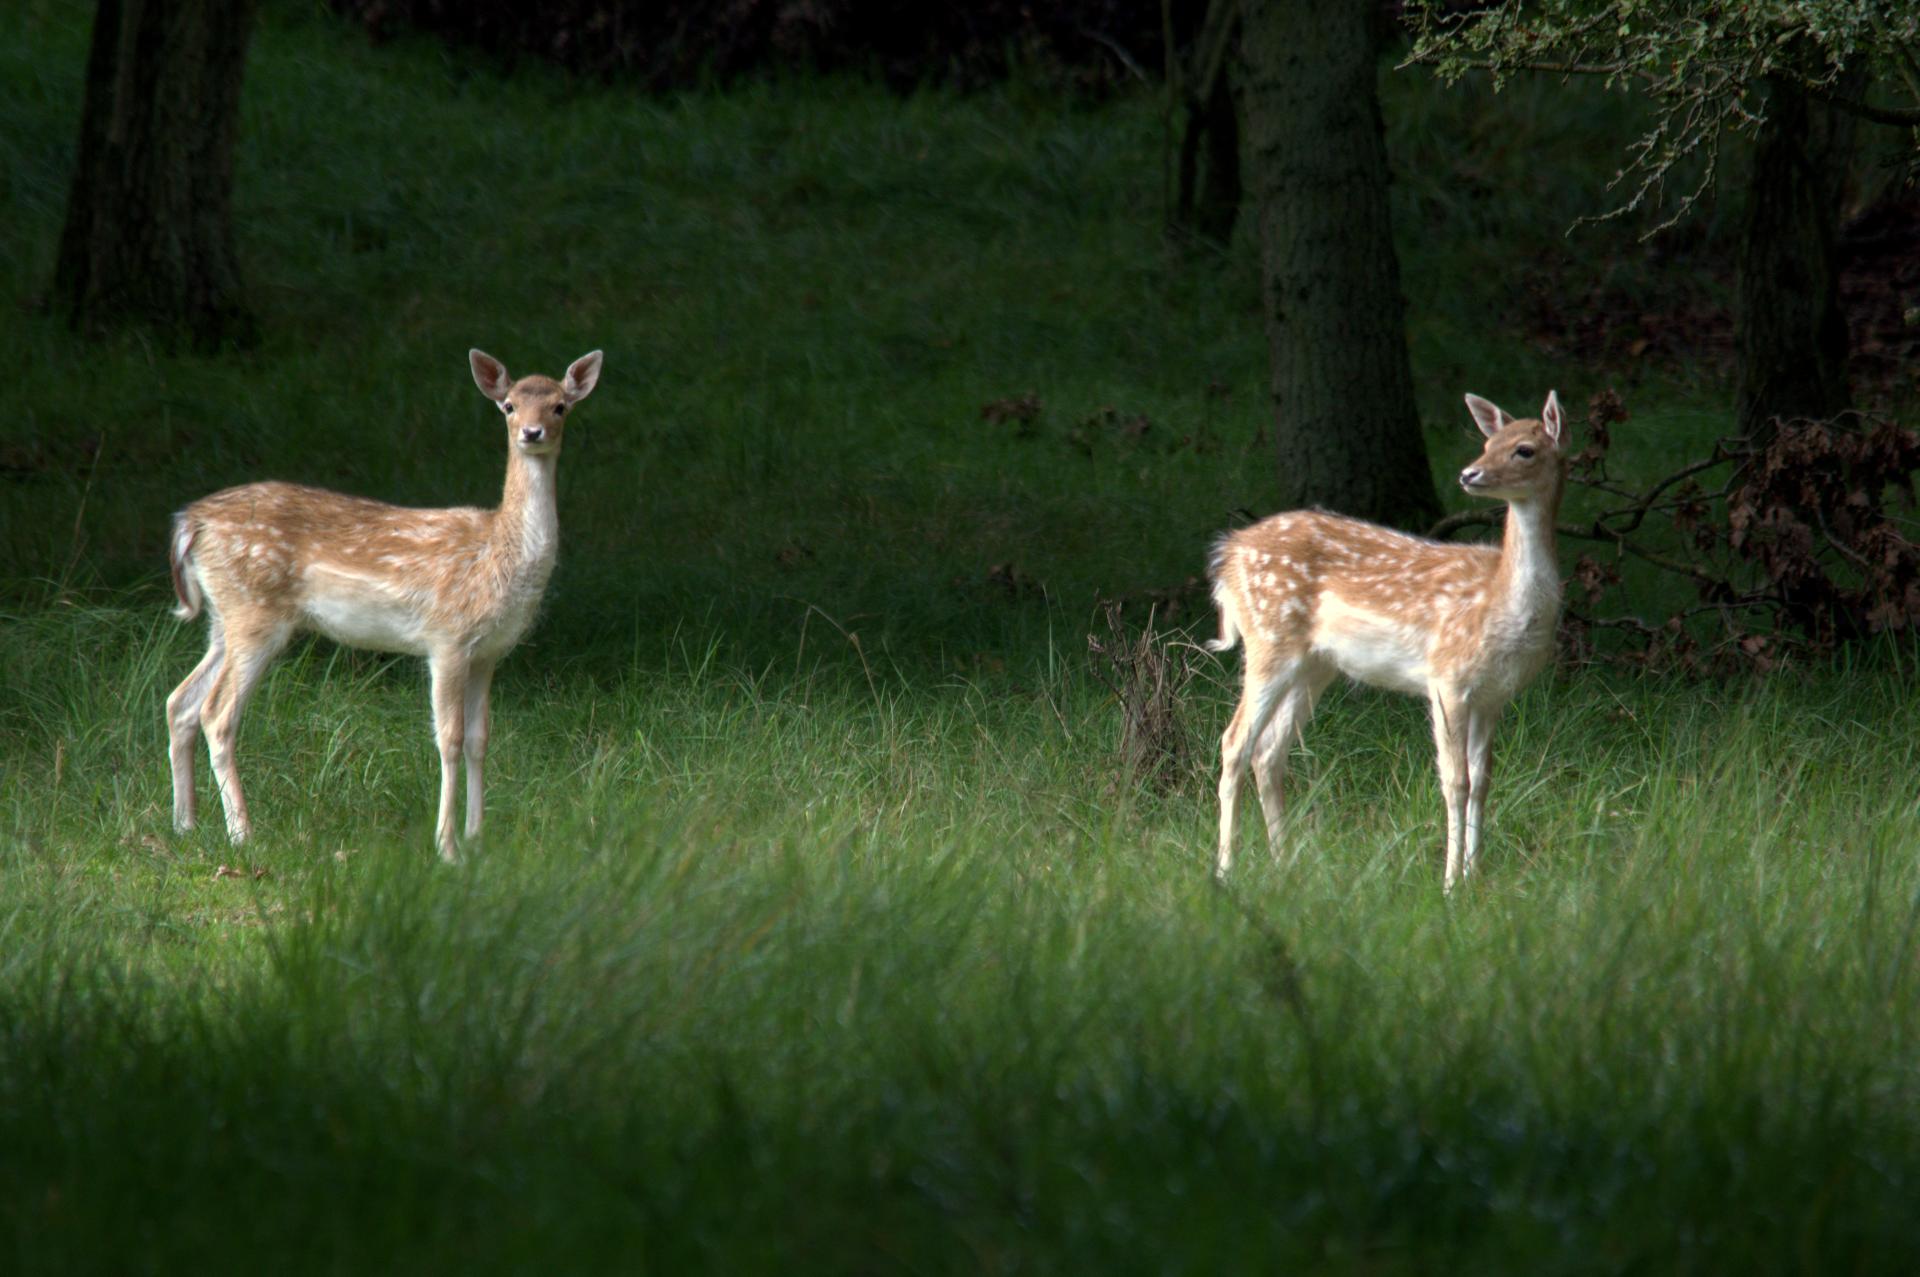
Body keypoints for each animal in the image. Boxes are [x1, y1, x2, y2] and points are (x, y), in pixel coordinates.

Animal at [165, 349, 599, 860]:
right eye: (509, 405)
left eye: (559, 406)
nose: (532, 433)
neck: (497, 554)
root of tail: (191, 523)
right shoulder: (448, 637)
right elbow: (449, 739)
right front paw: (448, 848)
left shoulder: (488, 652)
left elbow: (480, 738)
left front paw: (478, 838)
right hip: (255, 613)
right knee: (217, 712)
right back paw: (242, 834)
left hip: (224, 616)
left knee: (181, 700)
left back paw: (185, 824)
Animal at [1205, 393, 1566, 891]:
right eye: (1487, 443)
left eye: (1524, 449)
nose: (1469, 474)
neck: (1501, 602)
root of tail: (1228, 555)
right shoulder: (1447, 678)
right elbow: (1455, 782)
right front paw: (1450, 884)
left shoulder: (1493, 695)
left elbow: (1482, 780)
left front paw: (1475, 875)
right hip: (1269, 638)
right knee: (1234, 740)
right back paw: (1226, 870)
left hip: (1315, 664)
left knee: (1268, 751)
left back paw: (1285, 864)